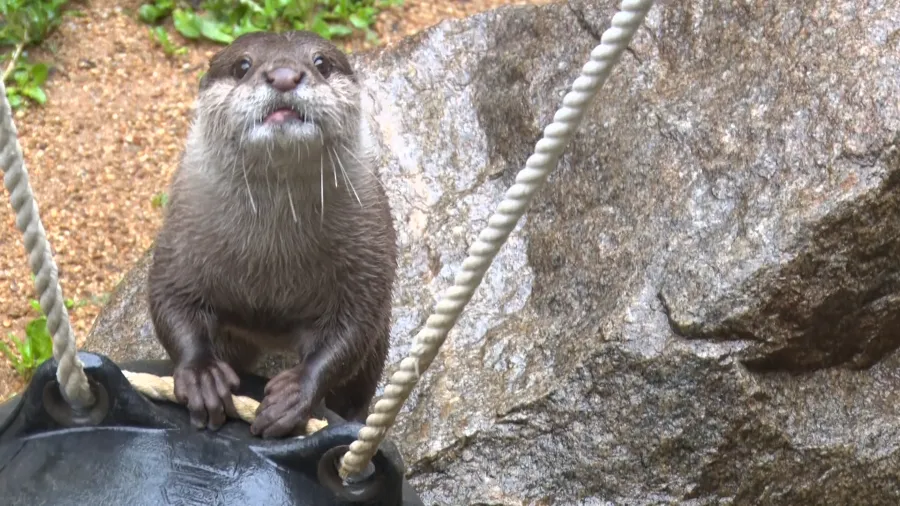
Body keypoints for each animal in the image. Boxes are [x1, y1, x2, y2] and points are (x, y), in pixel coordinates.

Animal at [149, 30, 398, 438]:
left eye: (321, 63)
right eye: (242, 66)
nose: (283, 76)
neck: (272, 258)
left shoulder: (368, 260)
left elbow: (353, 329)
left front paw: (295, 393)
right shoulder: (180, 241)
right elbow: (170, 301)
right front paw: (202, 376)